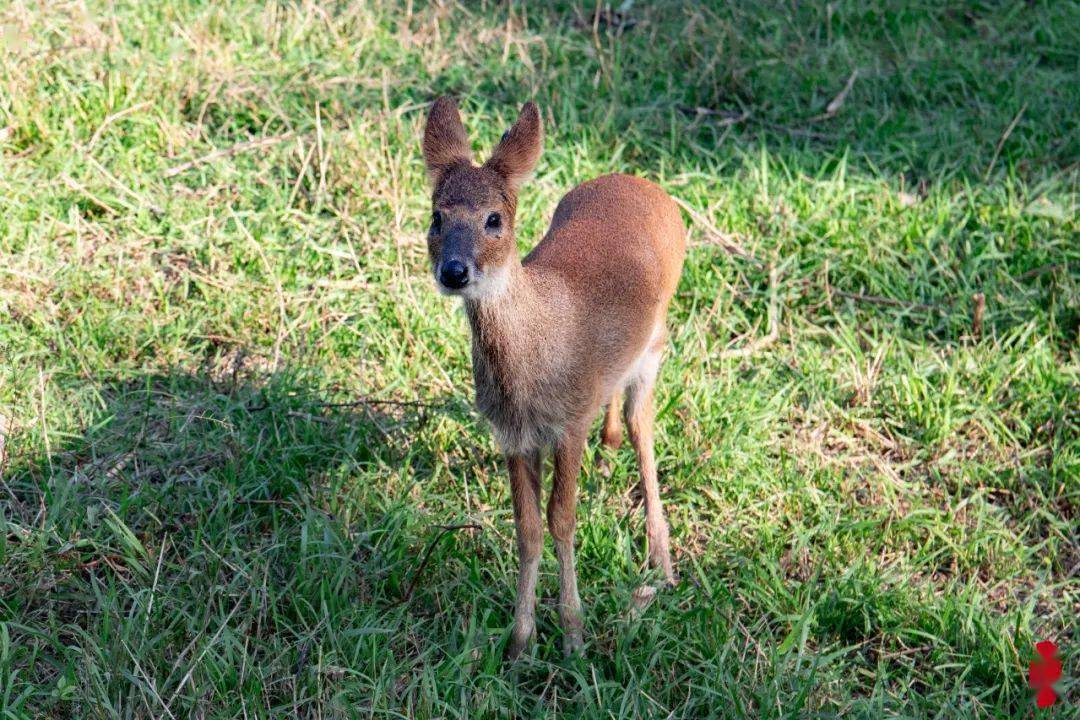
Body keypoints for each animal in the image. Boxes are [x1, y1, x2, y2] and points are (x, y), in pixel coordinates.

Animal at [419, 97, 682, 660]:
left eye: (494, 219)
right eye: (436, 216)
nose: (454, 271)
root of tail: (643, 184)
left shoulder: (569, 421)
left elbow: (563, 519)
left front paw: (574, 636)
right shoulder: (512, 434)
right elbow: (528, 528)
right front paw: (520, 643)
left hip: (656, 337)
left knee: (642, 425)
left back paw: (661, 563)